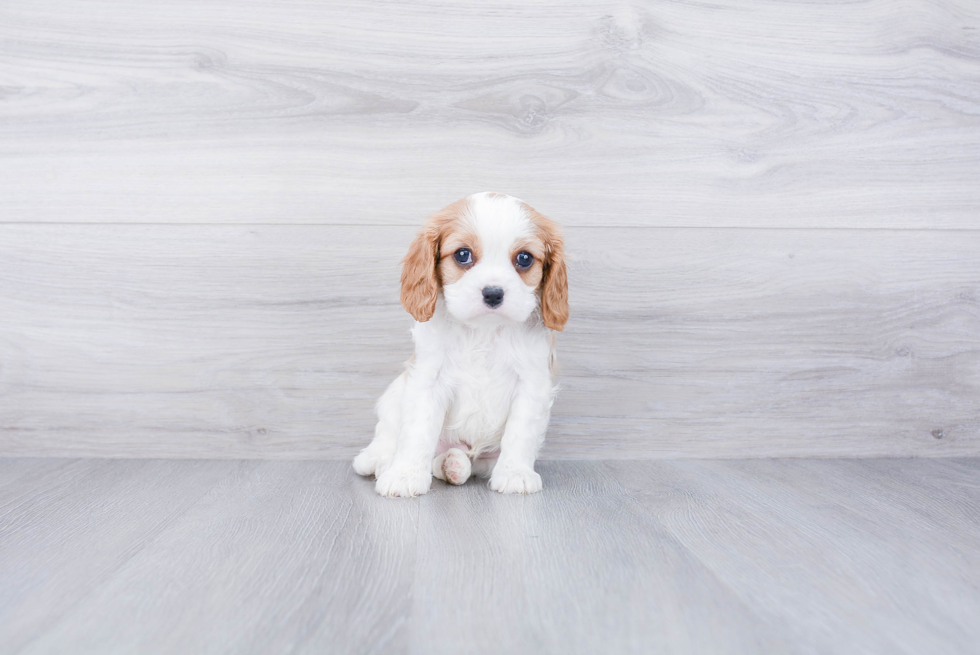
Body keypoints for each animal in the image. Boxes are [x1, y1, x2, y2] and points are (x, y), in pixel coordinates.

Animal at [352, 192, 568, 500]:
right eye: (462, 254)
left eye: (524, 258)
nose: (493, 293)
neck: (484, 331)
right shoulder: (427, 380)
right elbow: (417, 432)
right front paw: (405, 476)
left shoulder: (532, 384)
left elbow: (520, 433)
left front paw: (515, 474)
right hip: (394, 396)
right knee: (387, 437)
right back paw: (378, 461)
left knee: (458, 463)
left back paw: (454, 463)